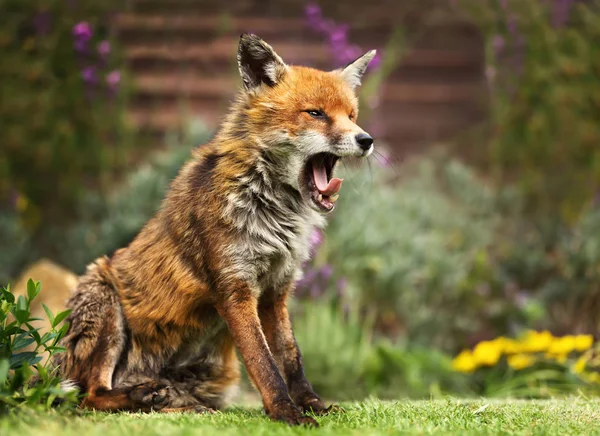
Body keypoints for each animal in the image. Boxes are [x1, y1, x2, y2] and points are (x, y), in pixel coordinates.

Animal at [55, 35, 376, 426]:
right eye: (315, 113)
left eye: (352, 116)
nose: (366, 140)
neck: (273, 211)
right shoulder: (234, 288)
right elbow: (264, 363)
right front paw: (286, 412)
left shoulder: (277, 290)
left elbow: (291, 357)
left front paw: (313, 404)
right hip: (105, 305)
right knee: (90, 396)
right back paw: (139, 394)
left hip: (214, 380)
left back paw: (170, 403)